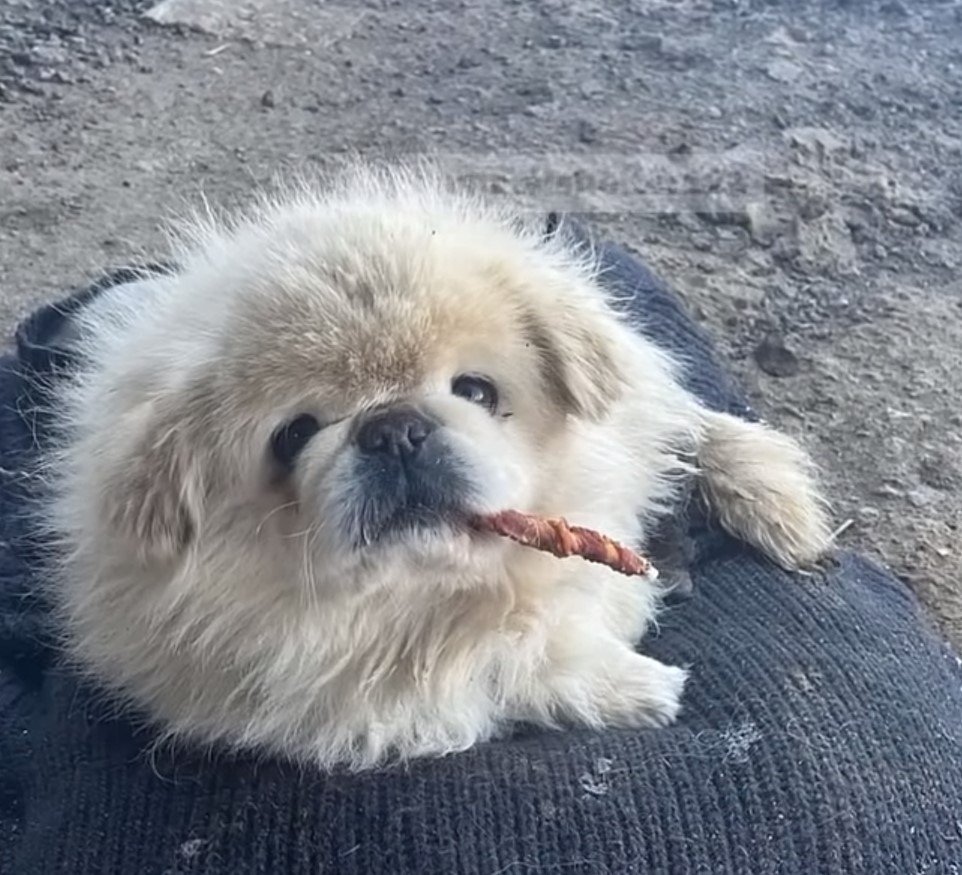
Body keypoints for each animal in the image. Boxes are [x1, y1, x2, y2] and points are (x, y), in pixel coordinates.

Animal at [41, 164, 828, 768]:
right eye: (293, 435)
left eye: (476, 391)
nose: (392, 429)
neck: (432, 604)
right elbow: (518, 661)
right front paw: (636, 688)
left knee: (692, 429)